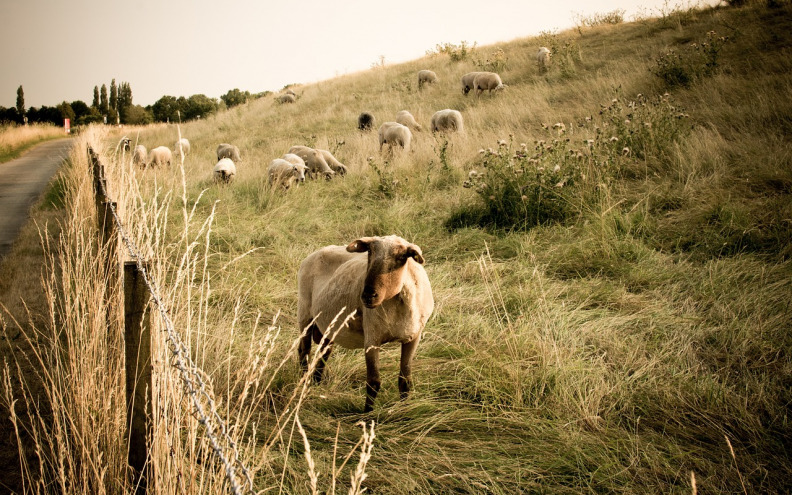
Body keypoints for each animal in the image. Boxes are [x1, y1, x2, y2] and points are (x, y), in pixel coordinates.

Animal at [296, 234, 434, 412]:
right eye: (369, 252)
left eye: (401, 257)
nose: (368, 295)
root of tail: (315, 253)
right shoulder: (372, 338)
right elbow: (373, 382)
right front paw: (368, 414)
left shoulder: (413, 337)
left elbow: (405, 380)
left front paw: (405, 408)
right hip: (305, 314)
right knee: (304, 351)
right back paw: (304, 384)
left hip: (328, 324)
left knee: (323, 353)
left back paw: (316, 383)